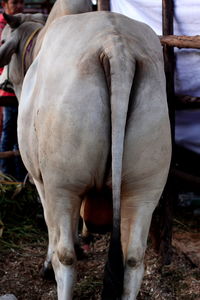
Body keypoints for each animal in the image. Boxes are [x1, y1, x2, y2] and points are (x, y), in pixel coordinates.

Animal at [0, 5, 172, 300]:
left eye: (2, 39)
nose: (4, 84)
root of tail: (116, 45)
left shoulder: (41, 181)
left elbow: (53, 231)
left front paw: (48, 264)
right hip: (145, 187)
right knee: (134, 259)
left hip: (63, 184)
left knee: (65, 257)